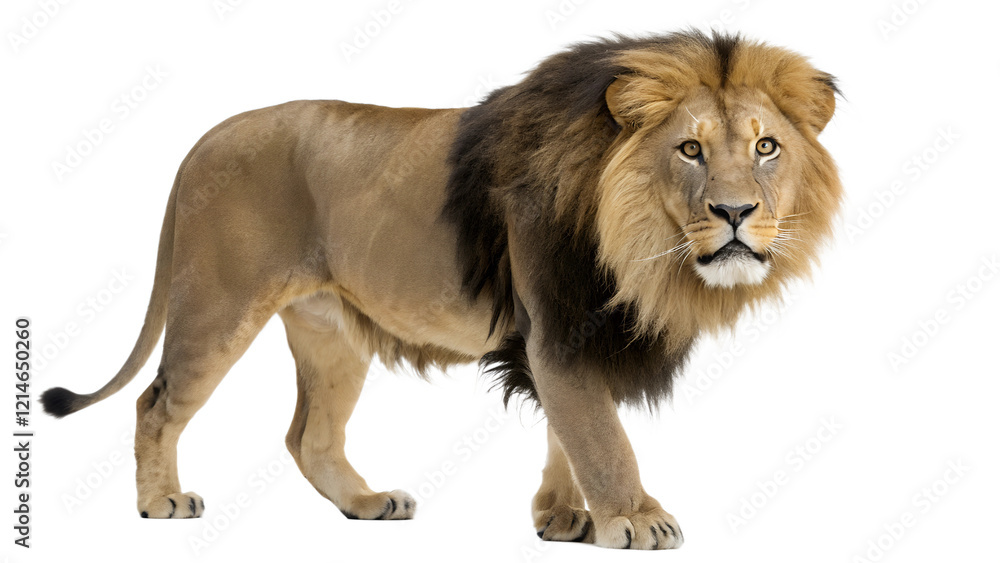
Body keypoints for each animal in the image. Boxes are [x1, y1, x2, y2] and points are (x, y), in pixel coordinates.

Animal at [40, 30, 841, 550]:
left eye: (766, 146)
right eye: (691, 148)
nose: (736, 212)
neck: (641, 244)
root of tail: (200, 142)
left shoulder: (553, 339)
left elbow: (564, 427)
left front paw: (560, 517)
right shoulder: (560, 327)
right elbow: (601, 434)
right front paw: (637, 517)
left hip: (331, 332)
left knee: (309, 435)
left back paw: (367, 504)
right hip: (217, 304)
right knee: (155, 402)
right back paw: (160, 502)